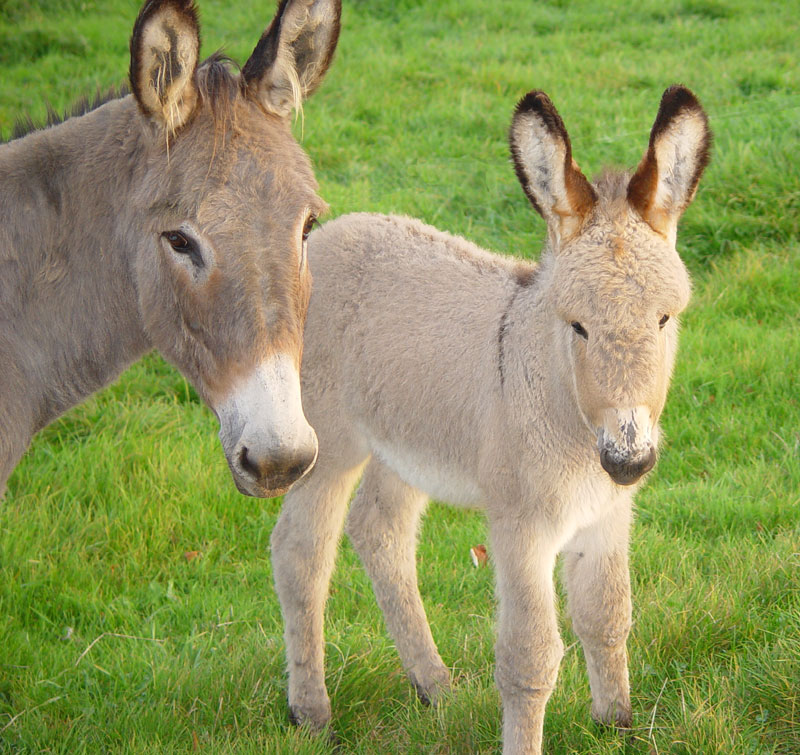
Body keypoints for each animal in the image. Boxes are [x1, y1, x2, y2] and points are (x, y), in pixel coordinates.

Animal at [271, 86, 711, 752]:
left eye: (665, 319)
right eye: (577, 325)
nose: (628, 460)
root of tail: (330, 233)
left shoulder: (607, 515)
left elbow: (608, 615)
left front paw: (616, 724)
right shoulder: (520, 528)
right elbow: (531, 657)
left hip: (406, 442)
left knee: (379, 531)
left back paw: (434, 687)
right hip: (331, 442)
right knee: (302, 552)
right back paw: (311, 712)